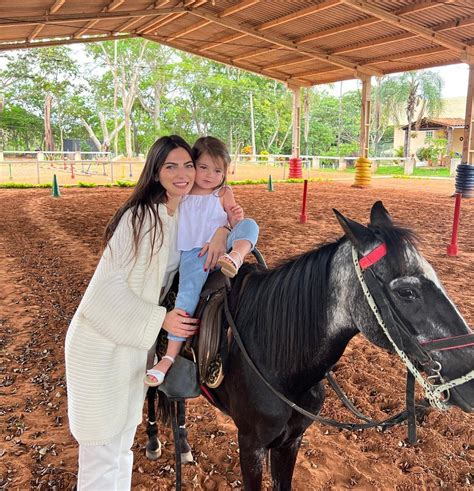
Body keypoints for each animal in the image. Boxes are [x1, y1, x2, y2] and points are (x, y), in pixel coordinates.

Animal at [146, 201, 472, 491]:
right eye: (407, 292)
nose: (469, 376)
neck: (279, 363)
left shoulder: (291, 441)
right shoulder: (250, 445)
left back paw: (183, 445)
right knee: (151, 393)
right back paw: (153, 440)